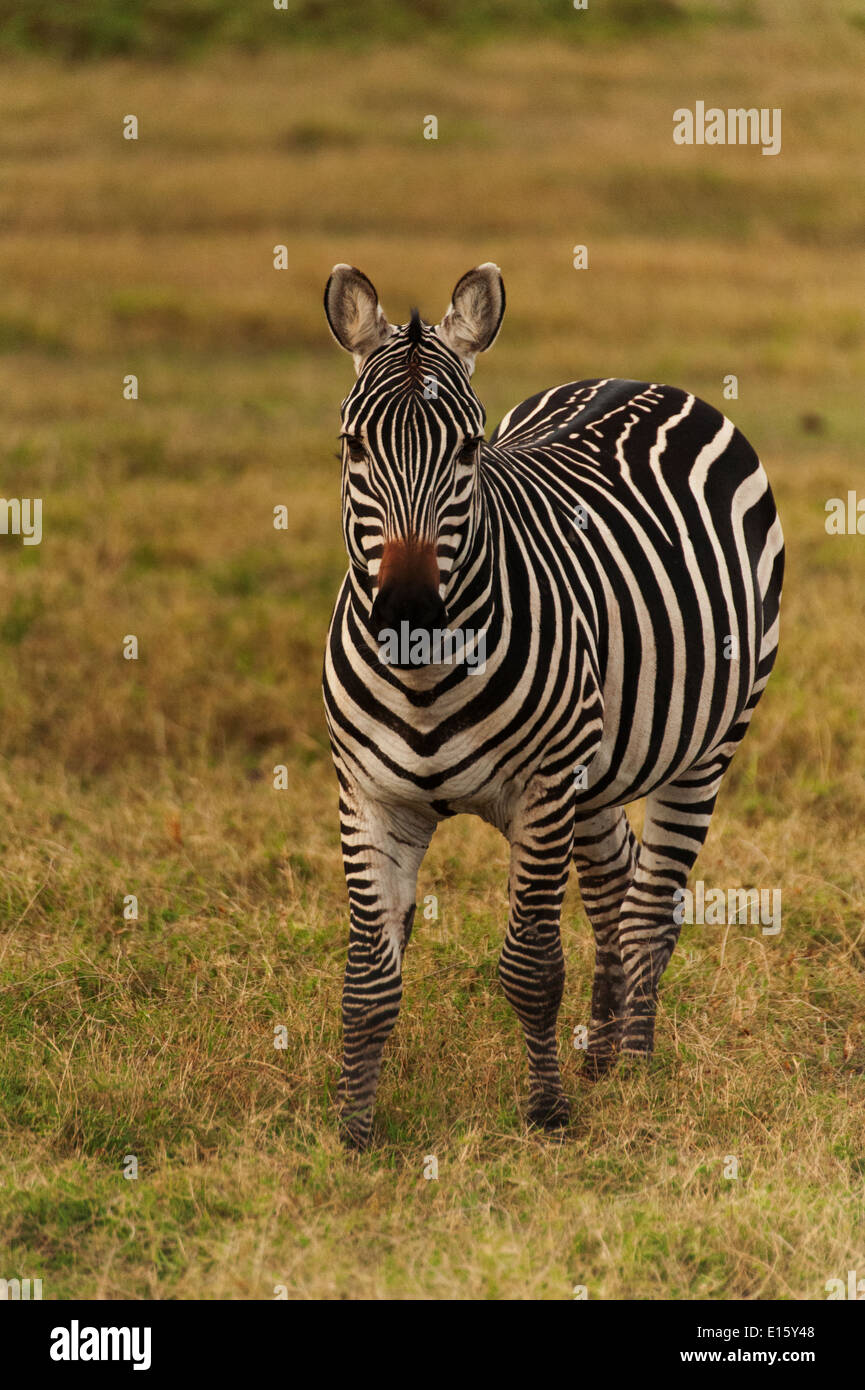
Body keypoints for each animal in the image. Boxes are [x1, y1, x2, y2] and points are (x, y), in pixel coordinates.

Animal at [323, 262, 784, 1150]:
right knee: (616, 885)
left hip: (705, 746)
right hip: (595, 770)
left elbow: (532, 967)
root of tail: (644, 380)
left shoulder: (540, 789)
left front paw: (545, 1113)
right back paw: (602, 1052)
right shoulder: (370, 795)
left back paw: (632, 1069)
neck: (426, 680)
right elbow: (367, 981)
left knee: (648, 906)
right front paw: (351, 1134)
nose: (406, 613)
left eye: (467, 450)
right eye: (353, 446)